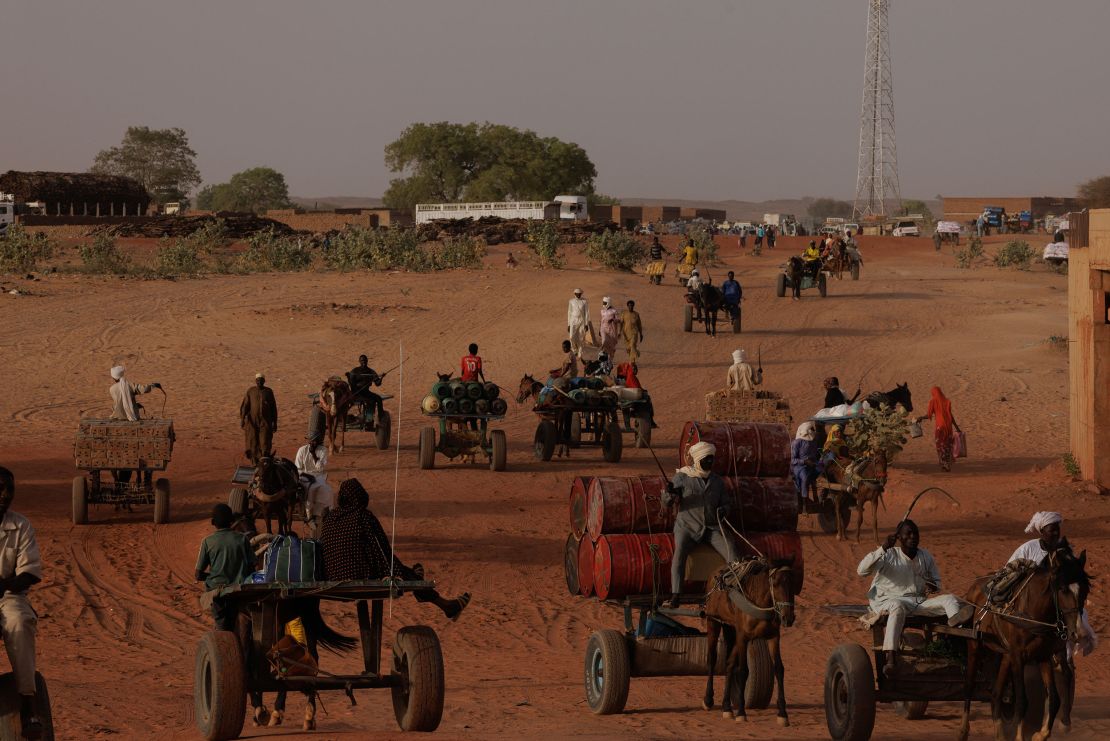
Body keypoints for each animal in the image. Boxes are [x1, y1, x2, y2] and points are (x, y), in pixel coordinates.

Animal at [701, 559, 799, 727]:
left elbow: (779, 669)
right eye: (775, 583)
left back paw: (727, 707)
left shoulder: (773, 637)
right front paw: (741, 712)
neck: (759, 601)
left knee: (729, 663)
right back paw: (708, 700)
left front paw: (782, 714)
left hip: (731, 628)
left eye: (794, 583)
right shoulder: (743, 637)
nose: (788, 618)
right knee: (712, 659)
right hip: (713, 622)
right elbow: (743, 671)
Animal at [954, 550, 1092, 741]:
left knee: (996, 693)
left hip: (1006, 655)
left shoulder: (1043, 655)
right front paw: (1020, 737)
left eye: (1085, 590)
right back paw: (963, 731)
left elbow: (1054, 698)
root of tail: (974, 587)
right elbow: (1021, 701)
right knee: (969, 686)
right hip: (974, 646)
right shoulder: (1019, 657)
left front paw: (1041, 734)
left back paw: (1000, 734)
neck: (1033, 613)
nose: (1078, 633)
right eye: (1063, 589)